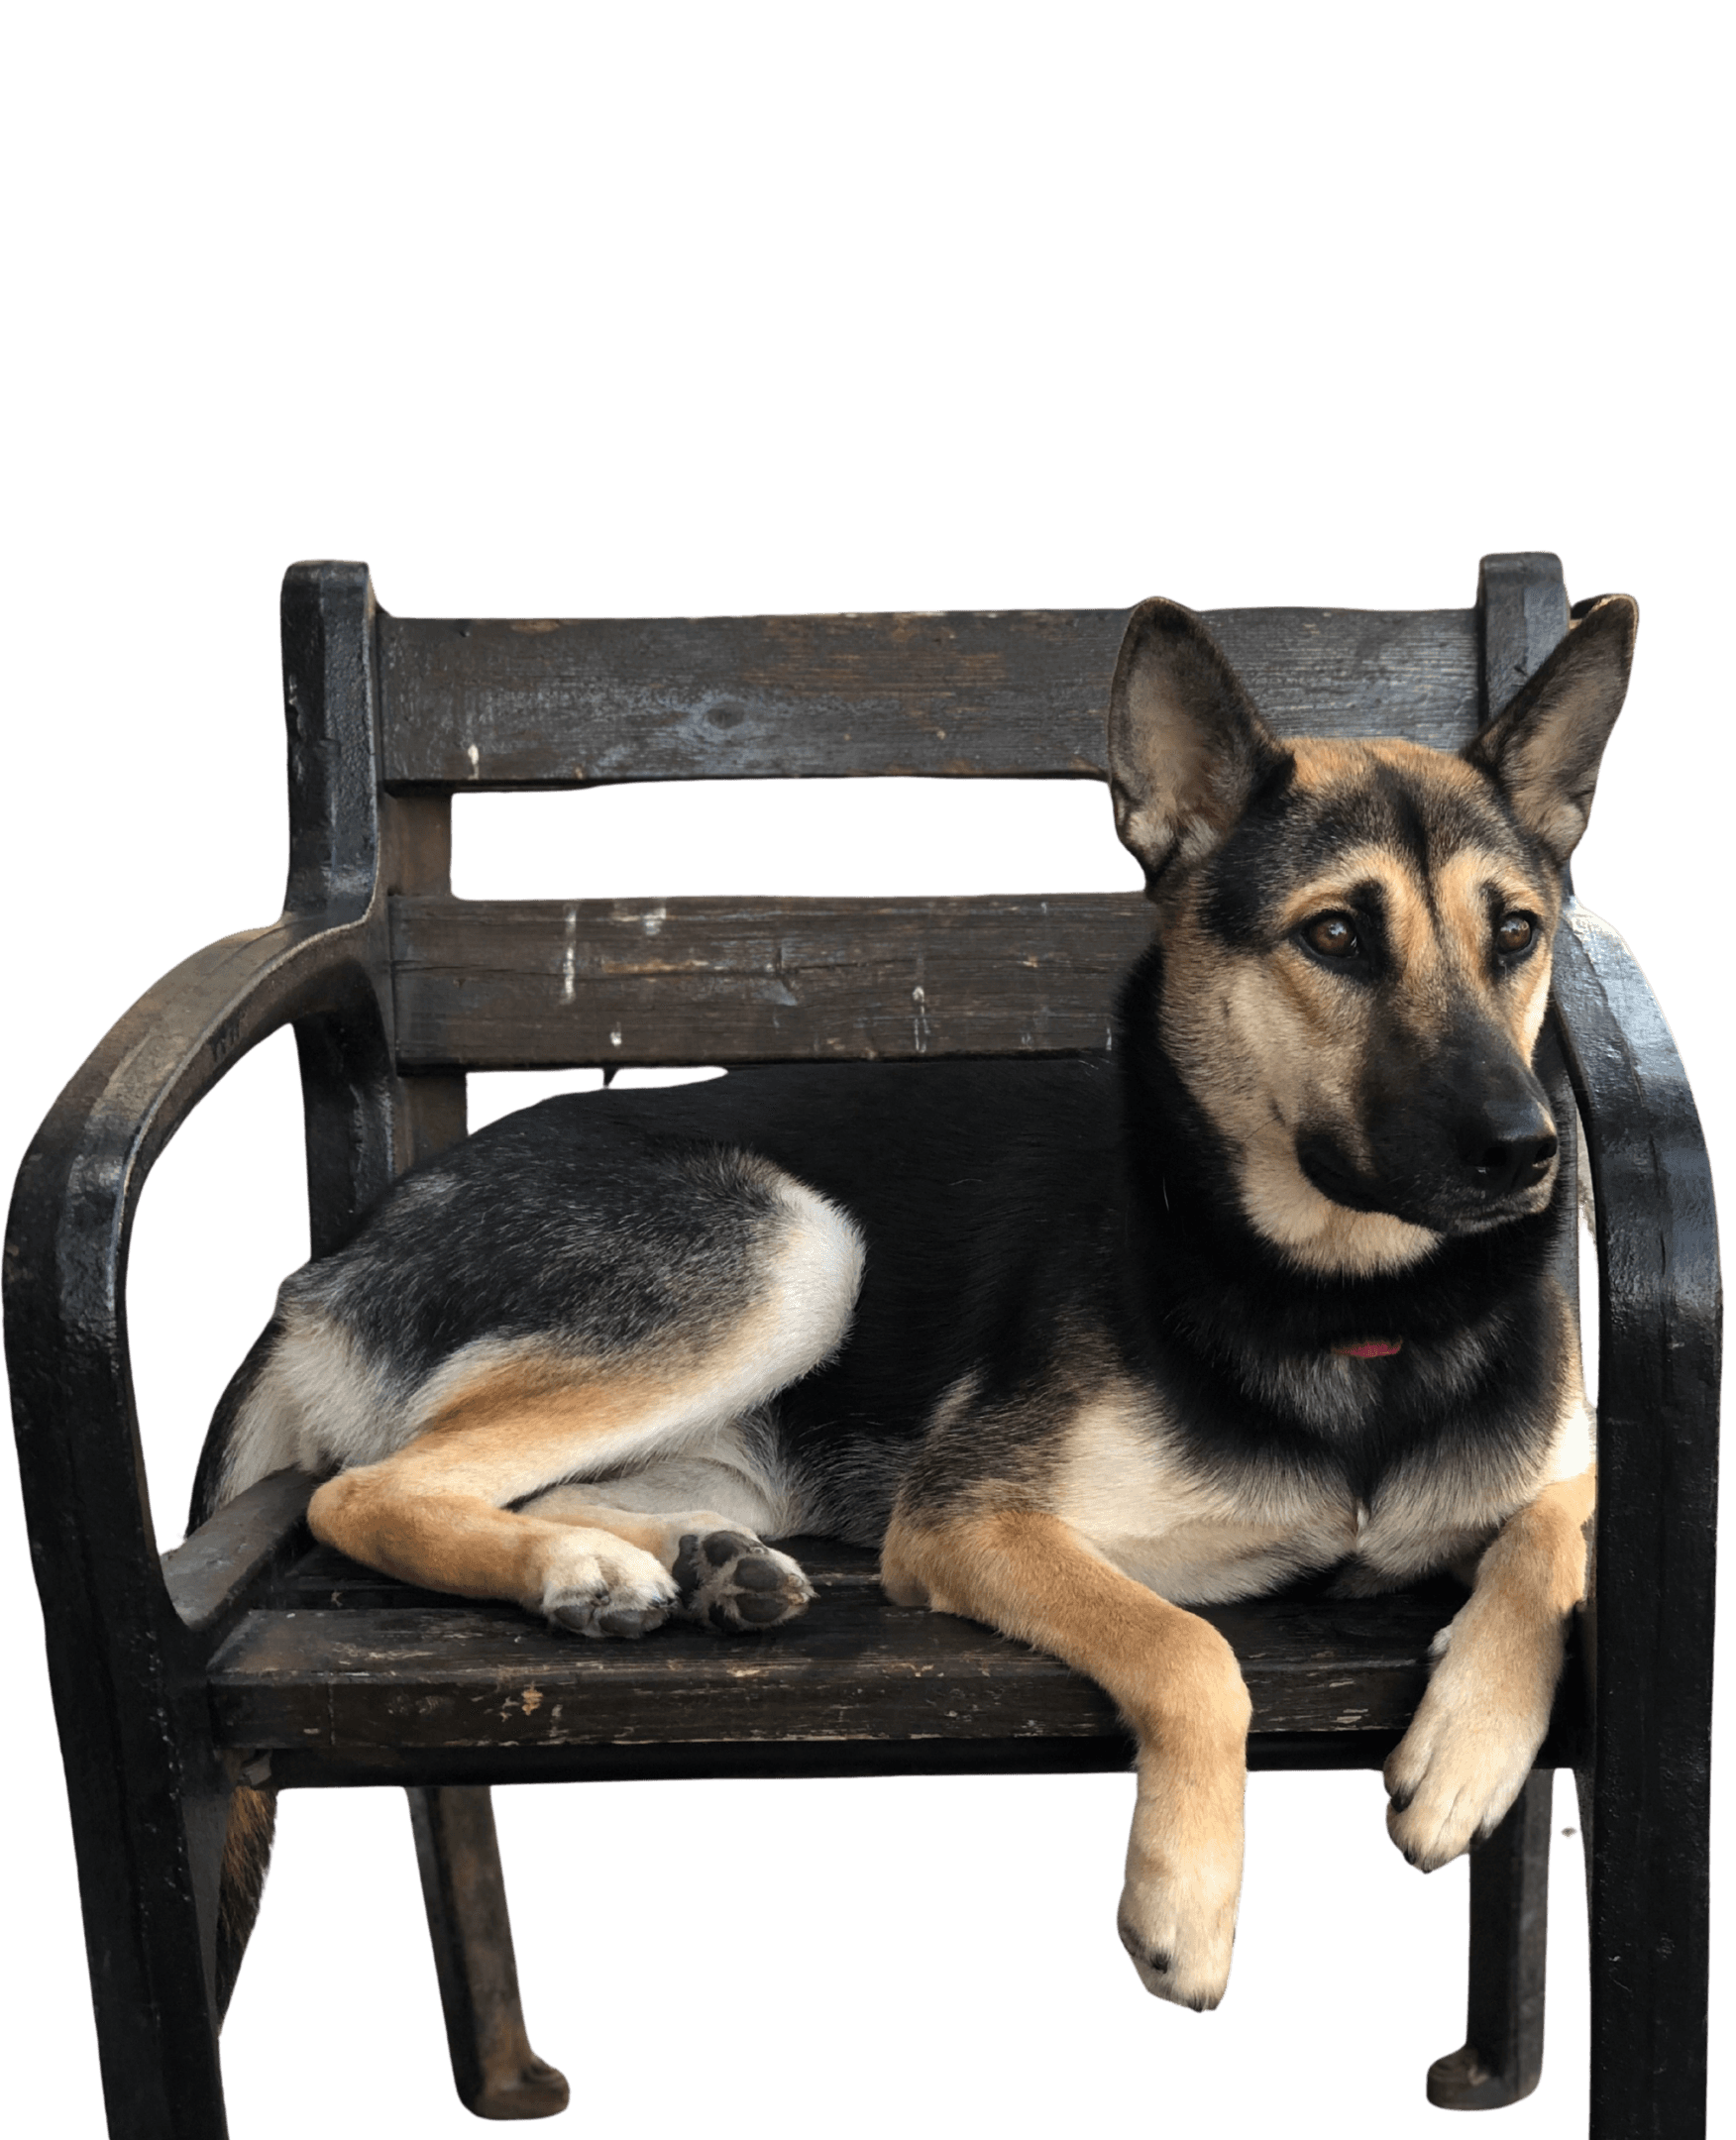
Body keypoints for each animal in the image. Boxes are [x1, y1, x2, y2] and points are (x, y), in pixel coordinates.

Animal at [193, 588, 1636, 2015]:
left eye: (1516, 934)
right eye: (1335, 936)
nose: (1525, 1153)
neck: (1349, 1303)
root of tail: (331, 1260)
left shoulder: (1568, 1467)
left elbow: (1555, 1520)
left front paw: (1469, 1746)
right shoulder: (970, 1520)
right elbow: (1187, 1647)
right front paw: (1186, 1898)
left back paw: (678, 1568)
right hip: (794, 1248)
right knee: (365, 1494)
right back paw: (586, 1570)